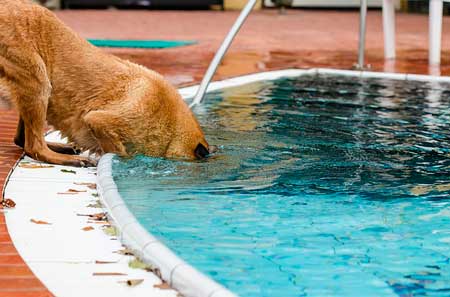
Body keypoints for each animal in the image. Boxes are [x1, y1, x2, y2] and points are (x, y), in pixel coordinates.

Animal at [0, 0, 213, 166]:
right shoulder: (99, 120)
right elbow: (119, 151)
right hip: (38, 80)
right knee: (33, 146)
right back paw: (68, 159)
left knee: (21, 140)